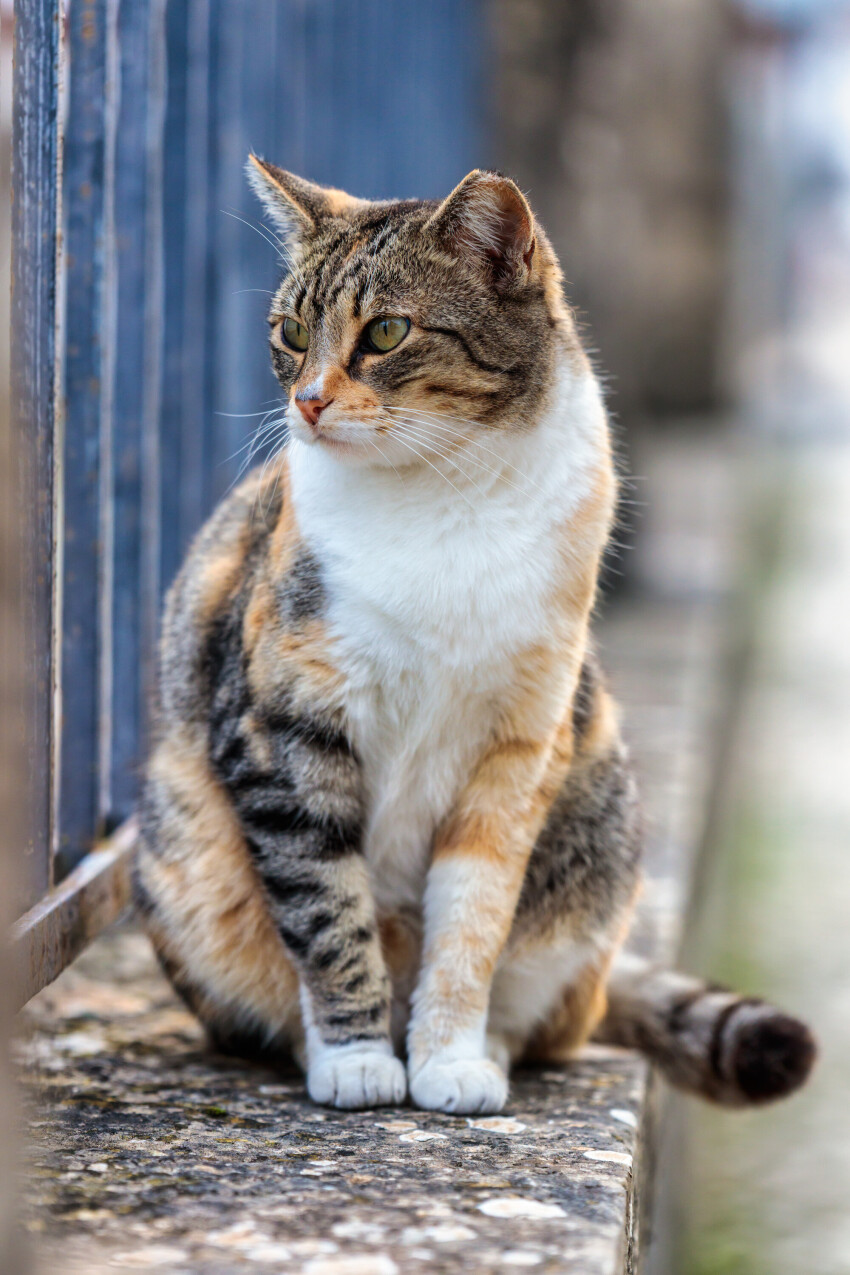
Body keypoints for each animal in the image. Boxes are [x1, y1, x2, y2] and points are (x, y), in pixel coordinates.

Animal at [134, 159, 815, 1111]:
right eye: (291, 331)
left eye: (386, 331)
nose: (306, 401)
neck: (444, 488)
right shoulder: (282, 734)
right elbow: (327, 910)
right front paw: (357, 1059)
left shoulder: (519, 747)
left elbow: (473, 919)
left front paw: (451, 1059)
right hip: (180, 845)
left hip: (599, 820)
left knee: (552, 1015)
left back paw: (486, 1045)